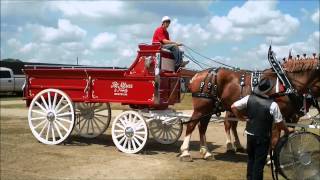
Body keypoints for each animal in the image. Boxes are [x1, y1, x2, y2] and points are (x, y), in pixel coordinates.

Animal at [180, 56, 320, 160]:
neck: (286, 82)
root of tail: (197, 74)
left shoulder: (286, 117)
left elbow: (285, 133)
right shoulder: (278, 114)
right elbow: (275, 137)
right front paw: (270, 158)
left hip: (209, 108)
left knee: (203, 127)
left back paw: (207, 152)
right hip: (201, 108)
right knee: (192, 125)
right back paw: (186, 152)